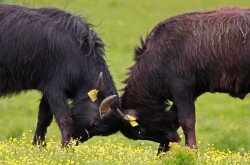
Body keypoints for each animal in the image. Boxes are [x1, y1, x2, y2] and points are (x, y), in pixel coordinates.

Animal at [0, 4, 119, 146]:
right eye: (94, 123)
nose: (76, 140)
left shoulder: (48, 91)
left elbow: (43, 118)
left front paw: (38, 146)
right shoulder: (54, 89)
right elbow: (64, 119)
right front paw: (65, 148)